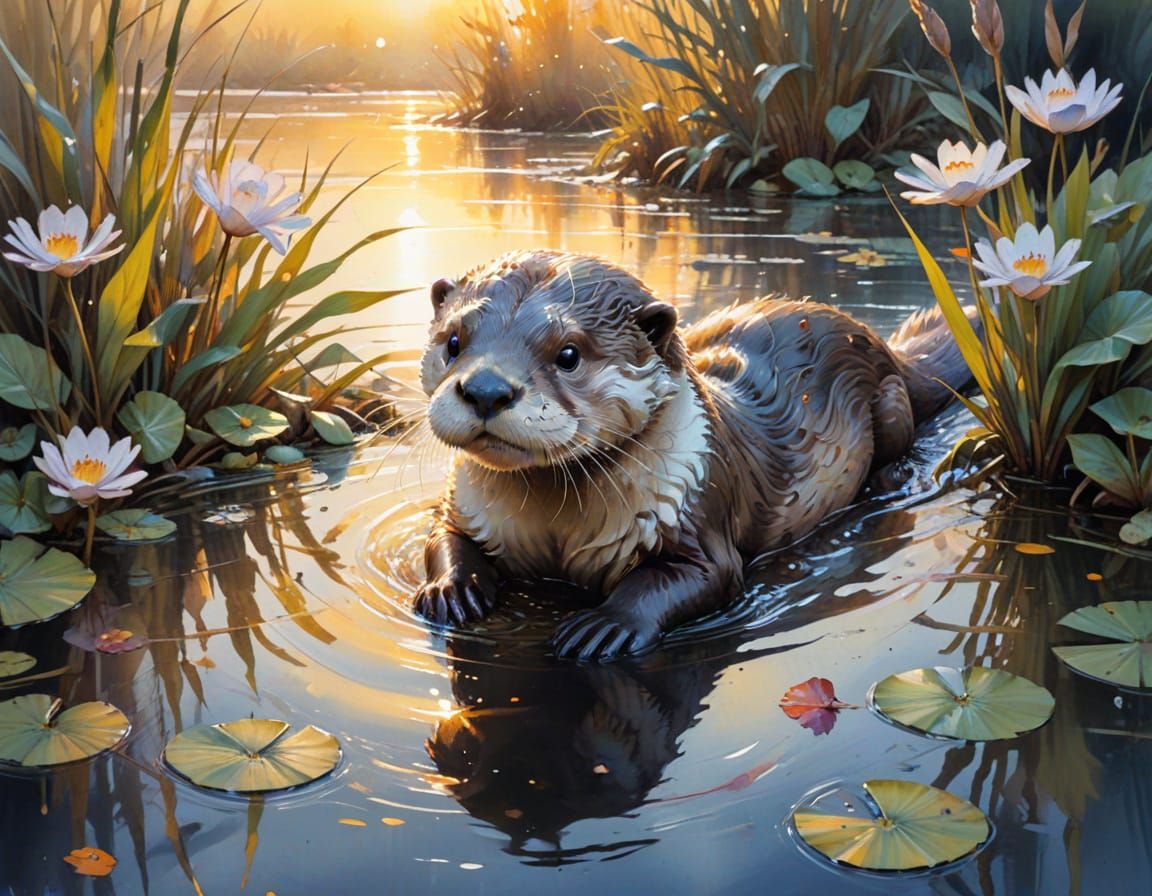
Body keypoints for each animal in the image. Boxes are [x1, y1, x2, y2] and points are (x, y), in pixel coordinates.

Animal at [412, 250, 970, 660]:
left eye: (568, 353)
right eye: (454, 341)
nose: (485, 389)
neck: (555, 532)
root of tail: (880, 341)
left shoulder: (698, 509)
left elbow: (692, 577)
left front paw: (605, 625)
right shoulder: (465, 508)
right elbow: (443, 535)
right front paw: (451, 588)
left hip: (889, 400)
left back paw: (895, 477)